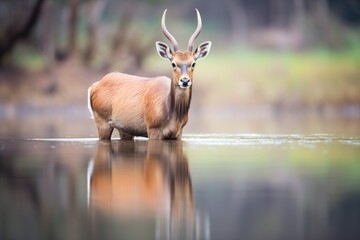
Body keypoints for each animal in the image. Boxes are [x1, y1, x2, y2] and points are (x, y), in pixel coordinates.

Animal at [88, 9, 211, 140]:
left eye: (193, 63)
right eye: (173, 63)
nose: (185, 81)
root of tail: (95, 85)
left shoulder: (179, 133)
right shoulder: (153, 128)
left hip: (124, 129)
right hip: (102, 120)